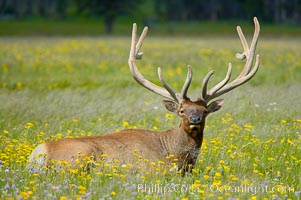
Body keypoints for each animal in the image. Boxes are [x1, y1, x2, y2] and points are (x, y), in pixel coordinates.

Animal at [27, 18, 258, 173]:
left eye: (204, 111)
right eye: (182, 110)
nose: (194, 119)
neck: (177, 156)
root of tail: (39, 153)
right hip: (79, 158)